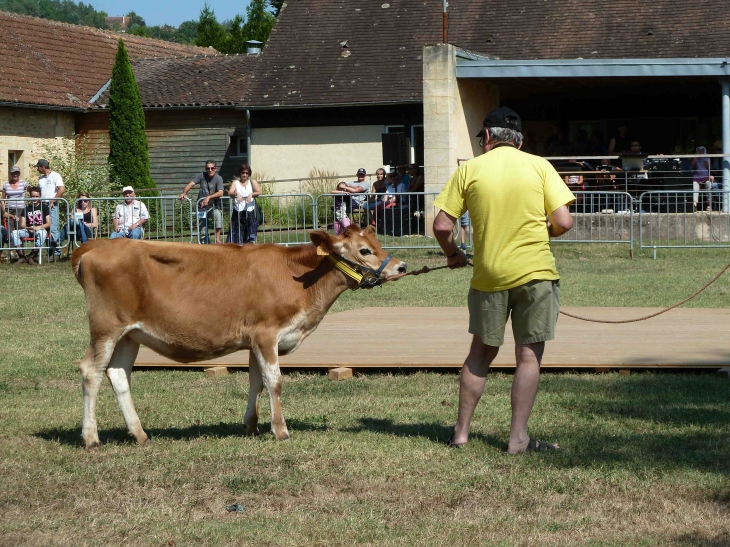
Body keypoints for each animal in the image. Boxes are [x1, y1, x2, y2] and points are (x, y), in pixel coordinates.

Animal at [72, 227, 406, 450]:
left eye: (377, 243)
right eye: (364, 250)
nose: (401, 266)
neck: (300, 277)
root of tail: (96, 246)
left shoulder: (255, 339)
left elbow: (256, 381)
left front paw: (251, 425)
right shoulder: (266, 333)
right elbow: (274, 381)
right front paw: (280, 430)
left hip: (130, 335)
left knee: (118, 374)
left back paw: (139, 434)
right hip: (106, 328)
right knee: (91, 371)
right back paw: (91, 437)